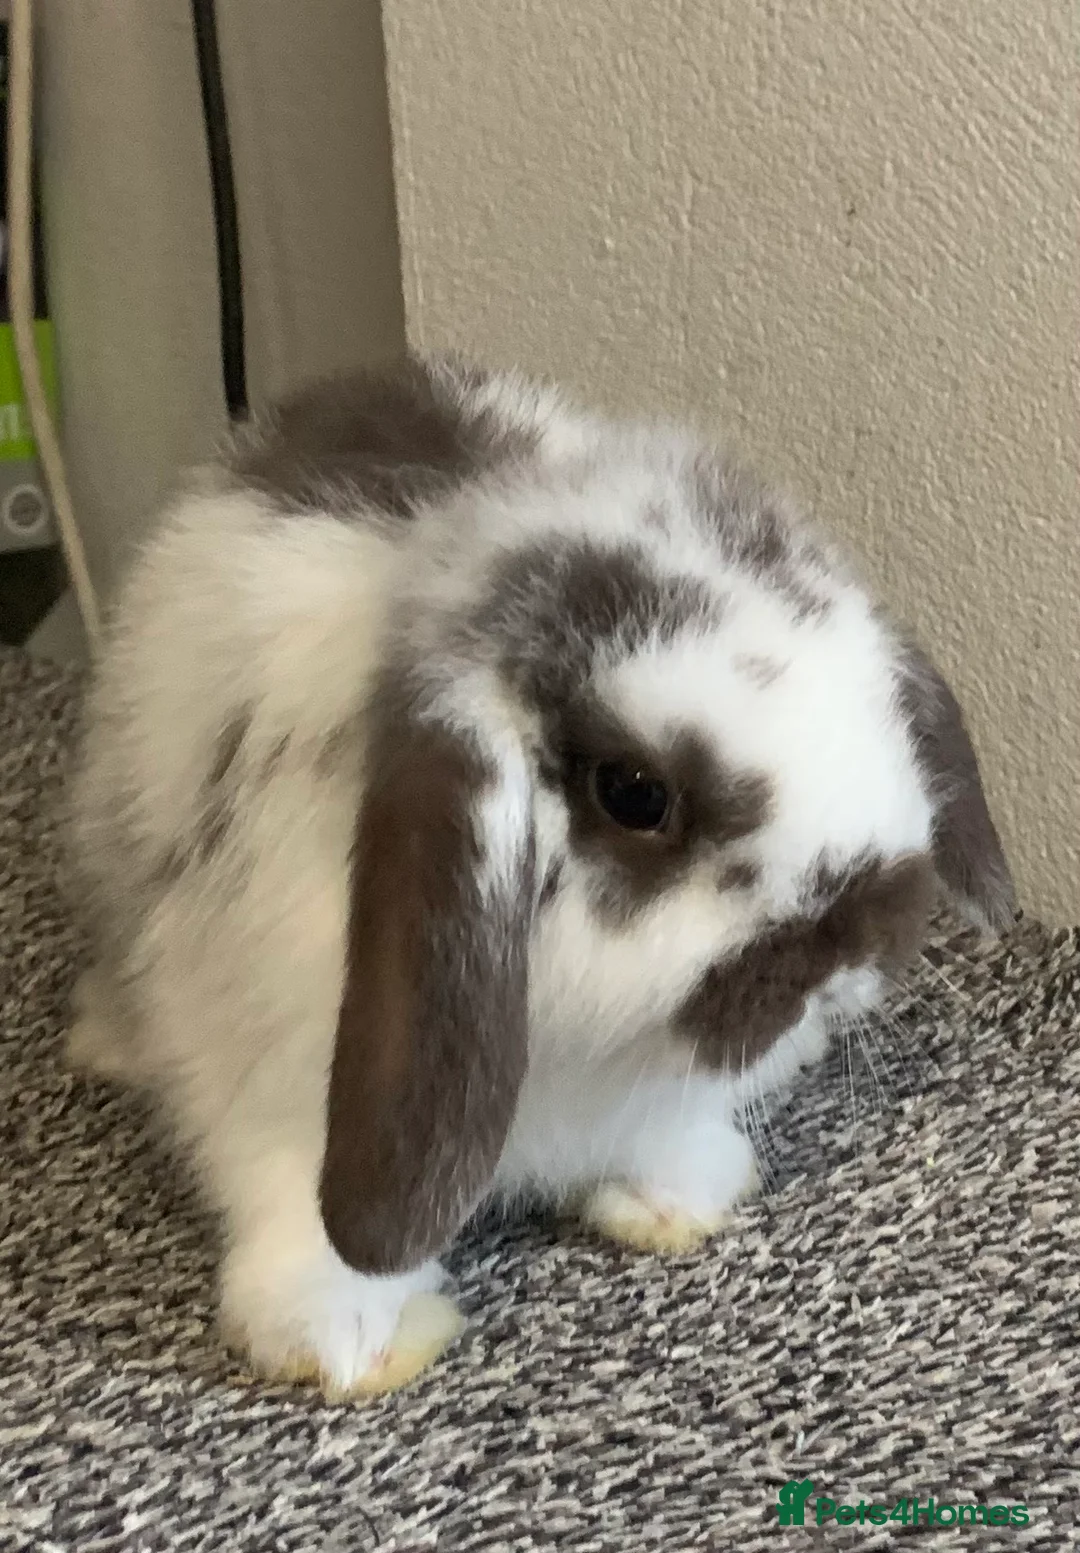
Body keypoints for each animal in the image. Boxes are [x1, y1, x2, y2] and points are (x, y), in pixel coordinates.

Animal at [67, 352, 1015, 1400]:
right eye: (635, 792)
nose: (856, 944)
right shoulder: (280, 1076)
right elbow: (299, 1210)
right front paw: (343, 1343)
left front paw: (673, 1201)